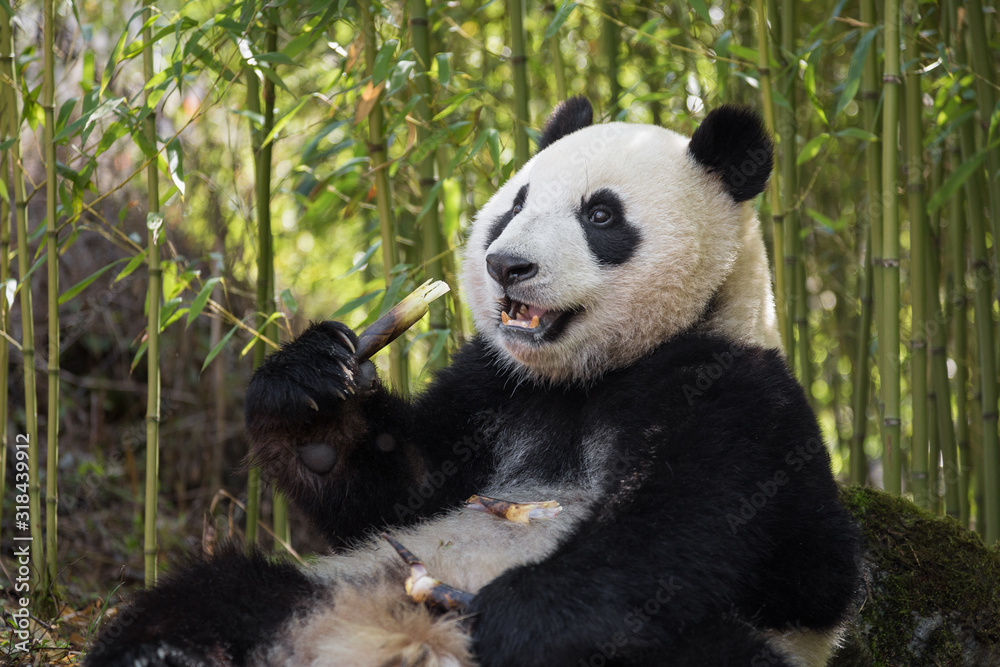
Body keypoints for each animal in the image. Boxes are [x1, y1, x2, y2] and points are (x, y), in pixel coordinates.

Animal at [87, 97, 859, 667]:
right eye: (515, 205)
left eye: (600, 214)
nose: (507, 265)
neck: (586, 377)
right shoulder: (493, 386)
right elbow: (398, 491)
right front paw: (311, 396)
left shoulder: (737, 391)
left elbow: (692, 530)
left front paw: (517, 614)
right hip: (328, 582)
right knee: (214, 594)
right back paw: (163, 653)